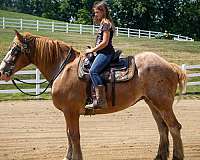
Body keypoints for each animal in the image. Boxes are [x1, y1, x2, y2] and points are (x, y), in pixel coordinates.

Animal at [0, 30, 188, 160]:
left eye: (15, 50)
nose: (2, 70)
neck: (63, 68)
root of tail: (170, 66)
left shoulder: (71, 112)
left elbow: (74, 135)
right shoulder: (68, 113)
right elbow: (68, 134)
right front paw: (68, 156)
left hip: (163, 104)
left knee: (174, 127)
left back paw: (177, 156)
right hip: (152, 103)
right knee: (162, 128)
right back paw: (160, 156)